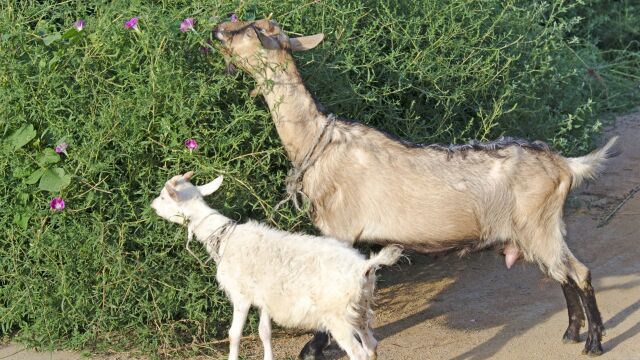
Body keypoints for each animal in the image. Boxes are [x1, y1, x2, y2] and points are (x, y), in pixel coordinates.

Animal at [214, 19, 616, 358]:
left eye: (250, 30)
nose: (217, 29)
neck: (317, 142)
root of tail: (564, 165)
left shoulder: (341, 231)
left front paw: (312, 349)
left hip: (539, 225)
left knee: (579, 273)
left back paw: (593, 342)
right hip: (537, 230)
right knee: (562, 274)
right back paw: (571, 332)